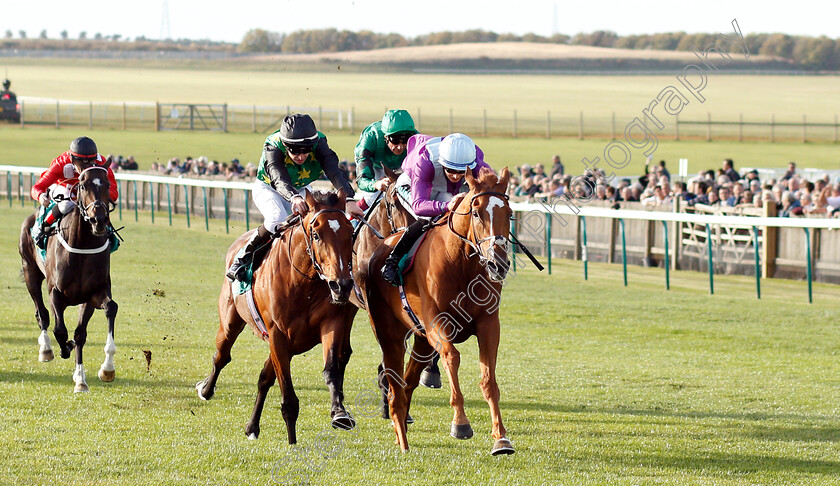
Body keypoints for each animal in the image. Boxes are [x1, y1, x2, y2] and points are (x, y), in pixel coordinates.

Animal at [18, 165, 118, 392]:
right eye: (82, 185)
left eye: (107, 184)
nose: (99, 220)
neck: (82, 245)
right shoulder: (56, 294)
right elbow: (60, 331)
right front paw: (64, 348)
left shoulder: (93, 295)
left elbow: (101, 316)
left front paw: (95, 373)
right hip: (30, 271)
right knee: (41, 313)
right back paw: (46, 349)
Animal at [198, 191, 358, 444]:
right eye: (316, 234)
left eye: (350, 233)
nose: (341, 285)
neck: (302, 283)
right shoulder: (277, 335)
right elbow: (289, 399)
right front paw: (292, 442)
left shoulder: (330, 324)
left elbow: (332, 369)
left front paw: (339, 413)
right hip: (231, 321)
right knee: (221, 356)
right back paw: (206, 389)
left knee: (264, 377)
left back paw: (252, 426)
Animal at [360, 167, 516, 456]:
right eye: (476, 212)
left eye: (509, 213)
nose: (498, 263)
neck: (462, 265)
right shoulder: (436, 324)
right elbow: (452, 357)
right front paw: (461, 423)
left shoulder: (489, 324)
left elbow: (489, 380)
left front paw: (501, 438)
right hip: (390, 336)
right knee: (395, 386)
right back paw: (402, 441)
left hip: (421, 340)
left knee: (407, 383)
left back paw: (402, 433)